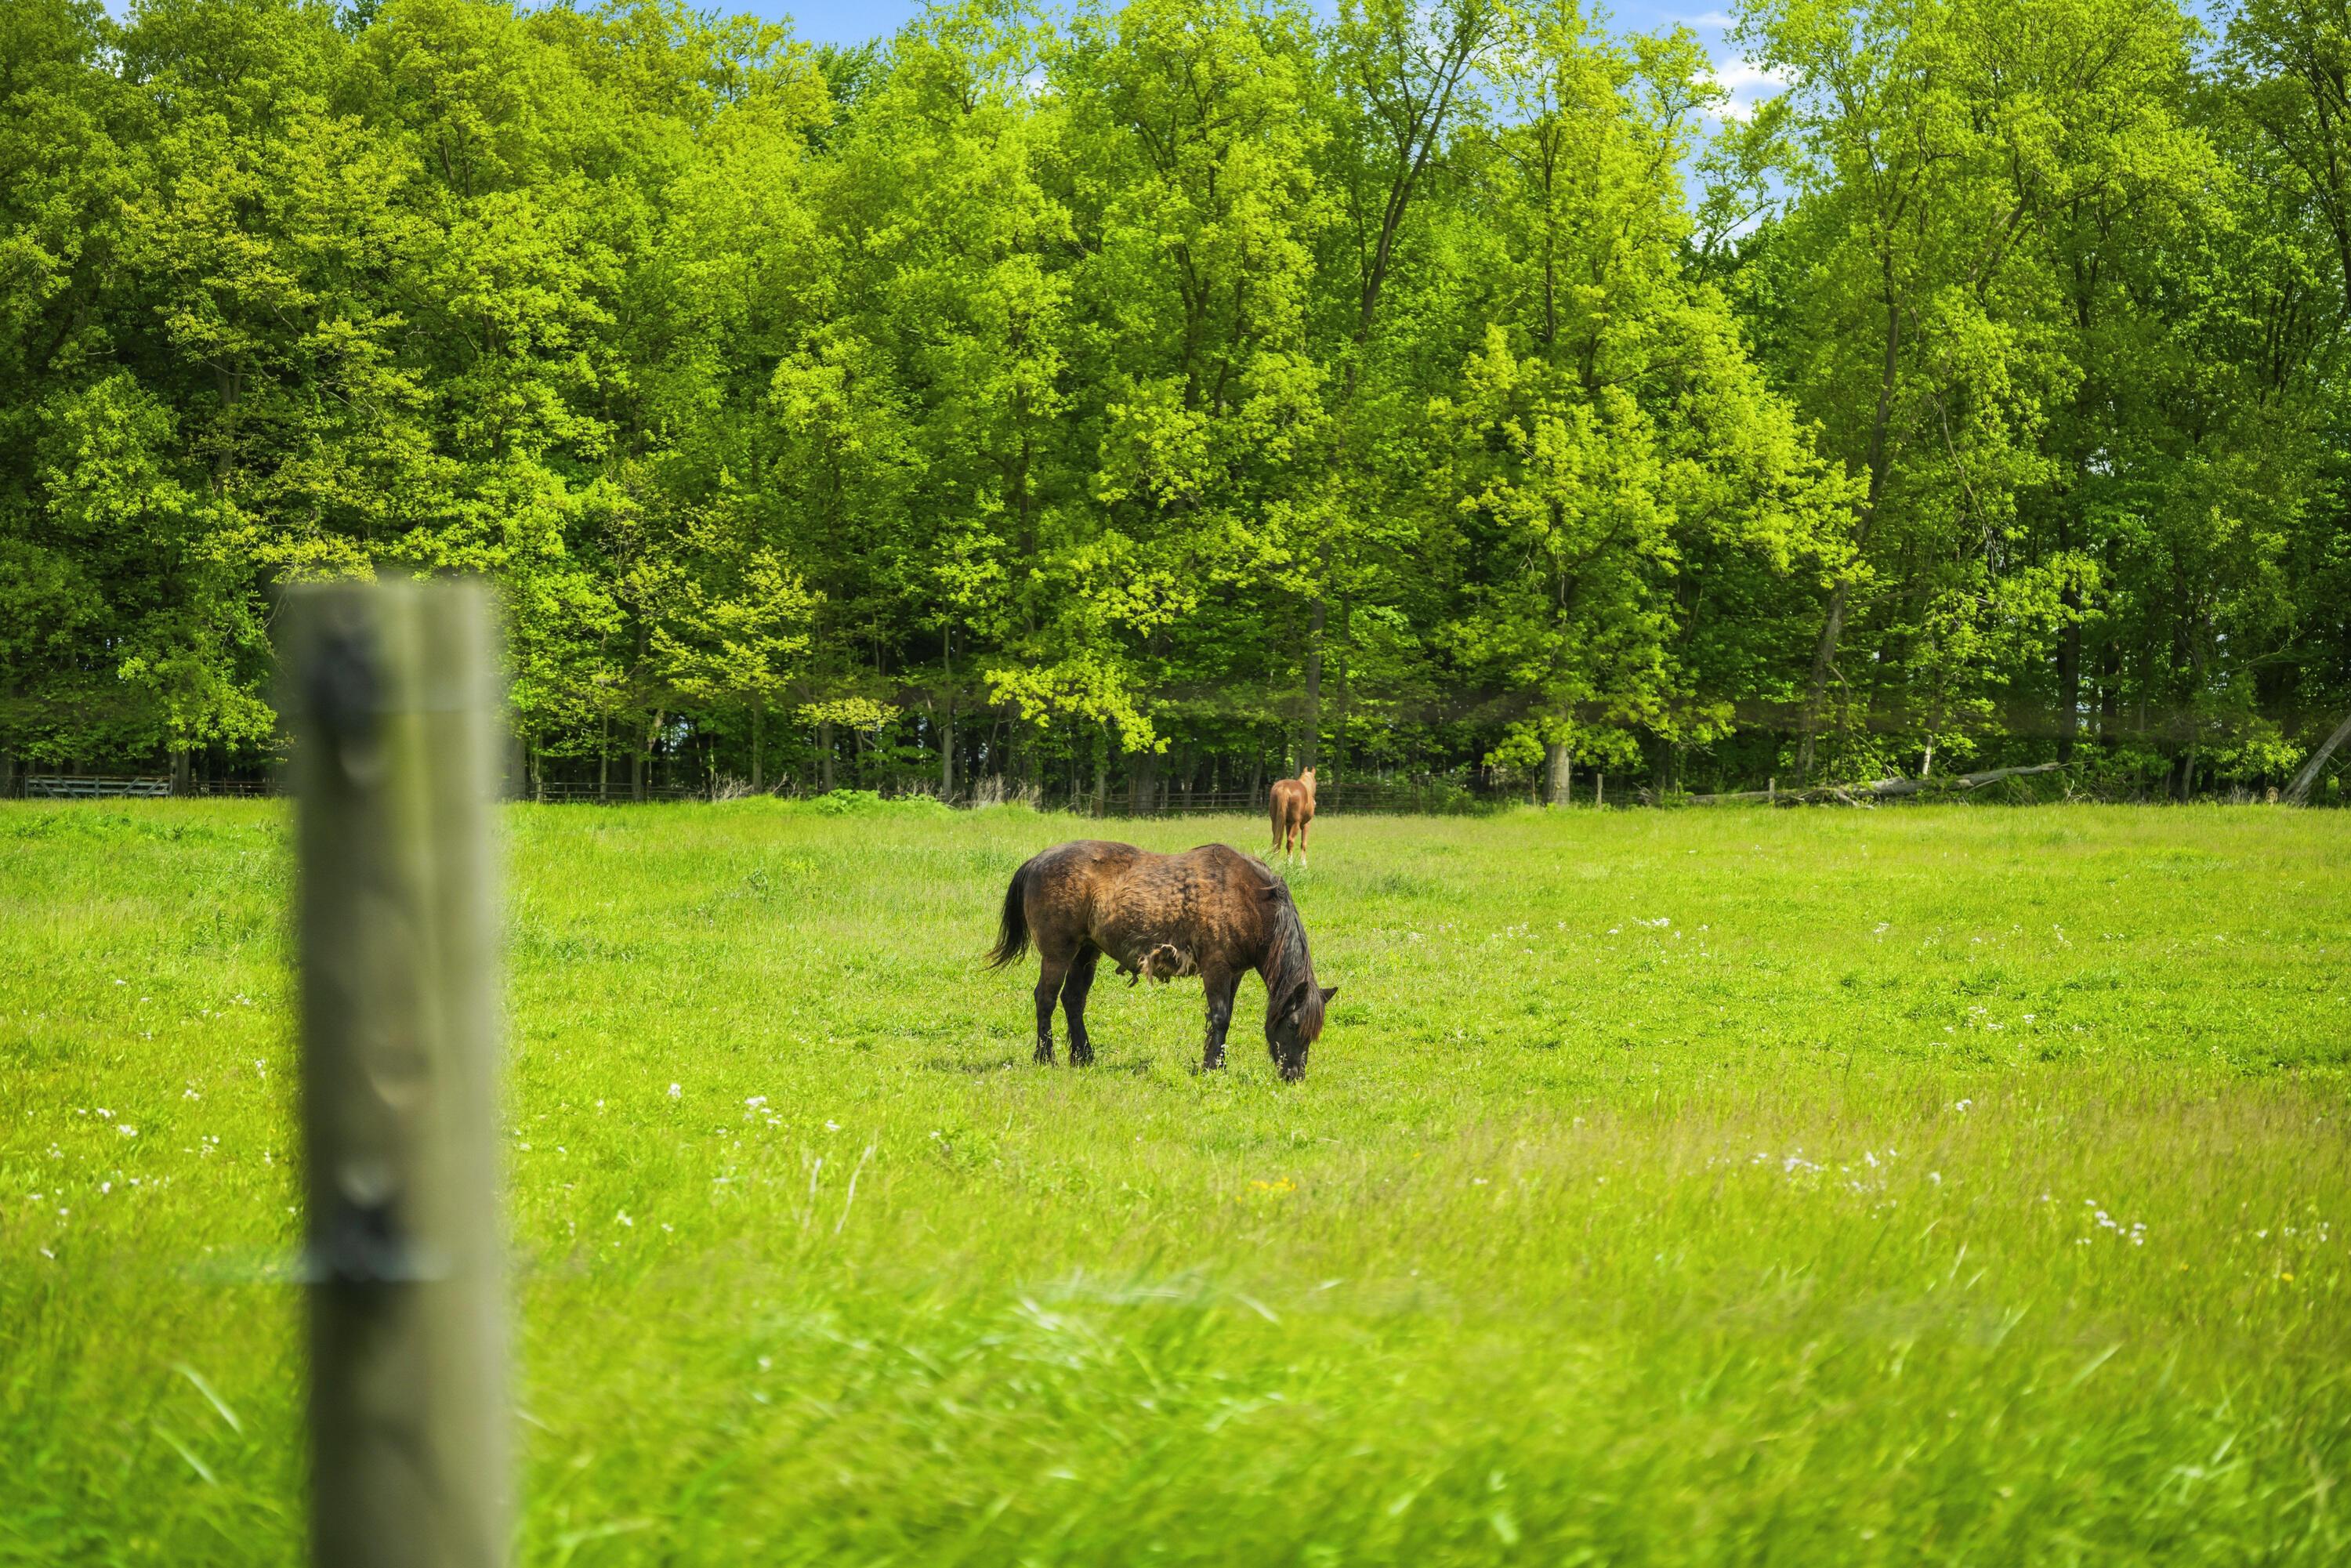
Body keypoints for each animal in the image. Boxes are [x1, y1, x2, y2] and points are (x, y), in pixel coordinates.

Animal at [985, 841, 1337, 1080]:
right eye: (1293, 1024)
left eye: (1313, 1032)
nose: (1294, 1075)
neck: (1249, 897)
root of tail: (1037, 860)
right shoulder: (1216, 968)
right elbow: (1220, 1017)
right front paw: (1212, 1068)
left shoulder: (1234, 973)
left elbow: (1225, 1018)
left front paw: (1217, 1064)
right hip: (1059, 953)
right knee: (1045, 999)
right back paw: (1046, 1057)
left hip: (1086, 952)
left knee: (1073, 1000)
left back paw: (1083, 1056)